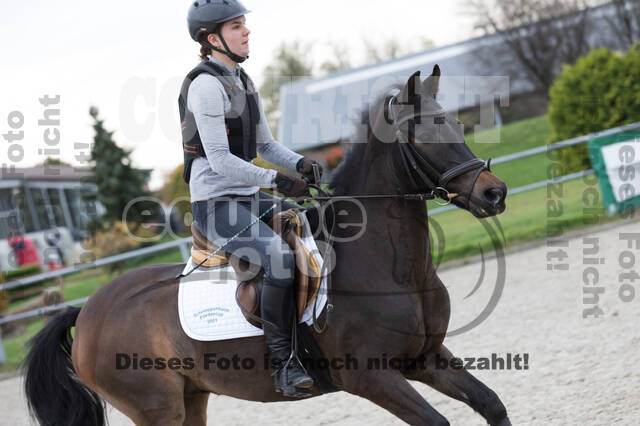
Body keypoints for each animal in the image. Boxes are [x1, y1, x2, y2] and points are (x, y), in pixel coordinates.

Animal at [23, 66, 510, 426]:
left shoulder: (425, 358)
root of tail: (86, 312)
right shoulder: (371, 377)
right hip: (156, 409)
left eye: (459, 123)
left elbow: (492, 404)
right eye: (425, 134)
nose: (495, 193)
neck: (392, 269)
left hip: (192, 397)